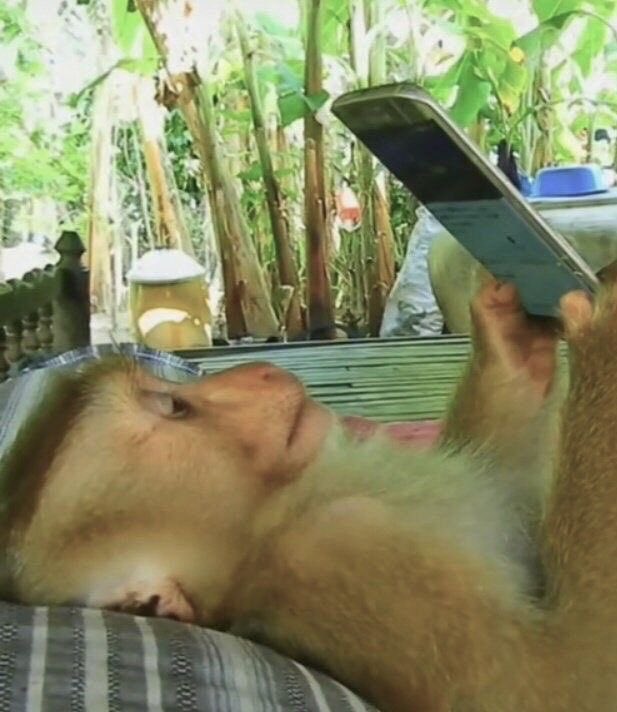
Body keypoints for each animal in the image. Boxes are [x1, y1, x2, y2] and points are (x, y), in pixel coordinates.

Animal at [0, 276, 615, 711]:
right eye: (175, 406)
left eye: (171, 388)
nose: (259, 370)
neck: (289, 508)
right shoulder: (336, 549)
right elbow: (558, 687)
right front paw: (602, 325)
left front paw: (508, 346)